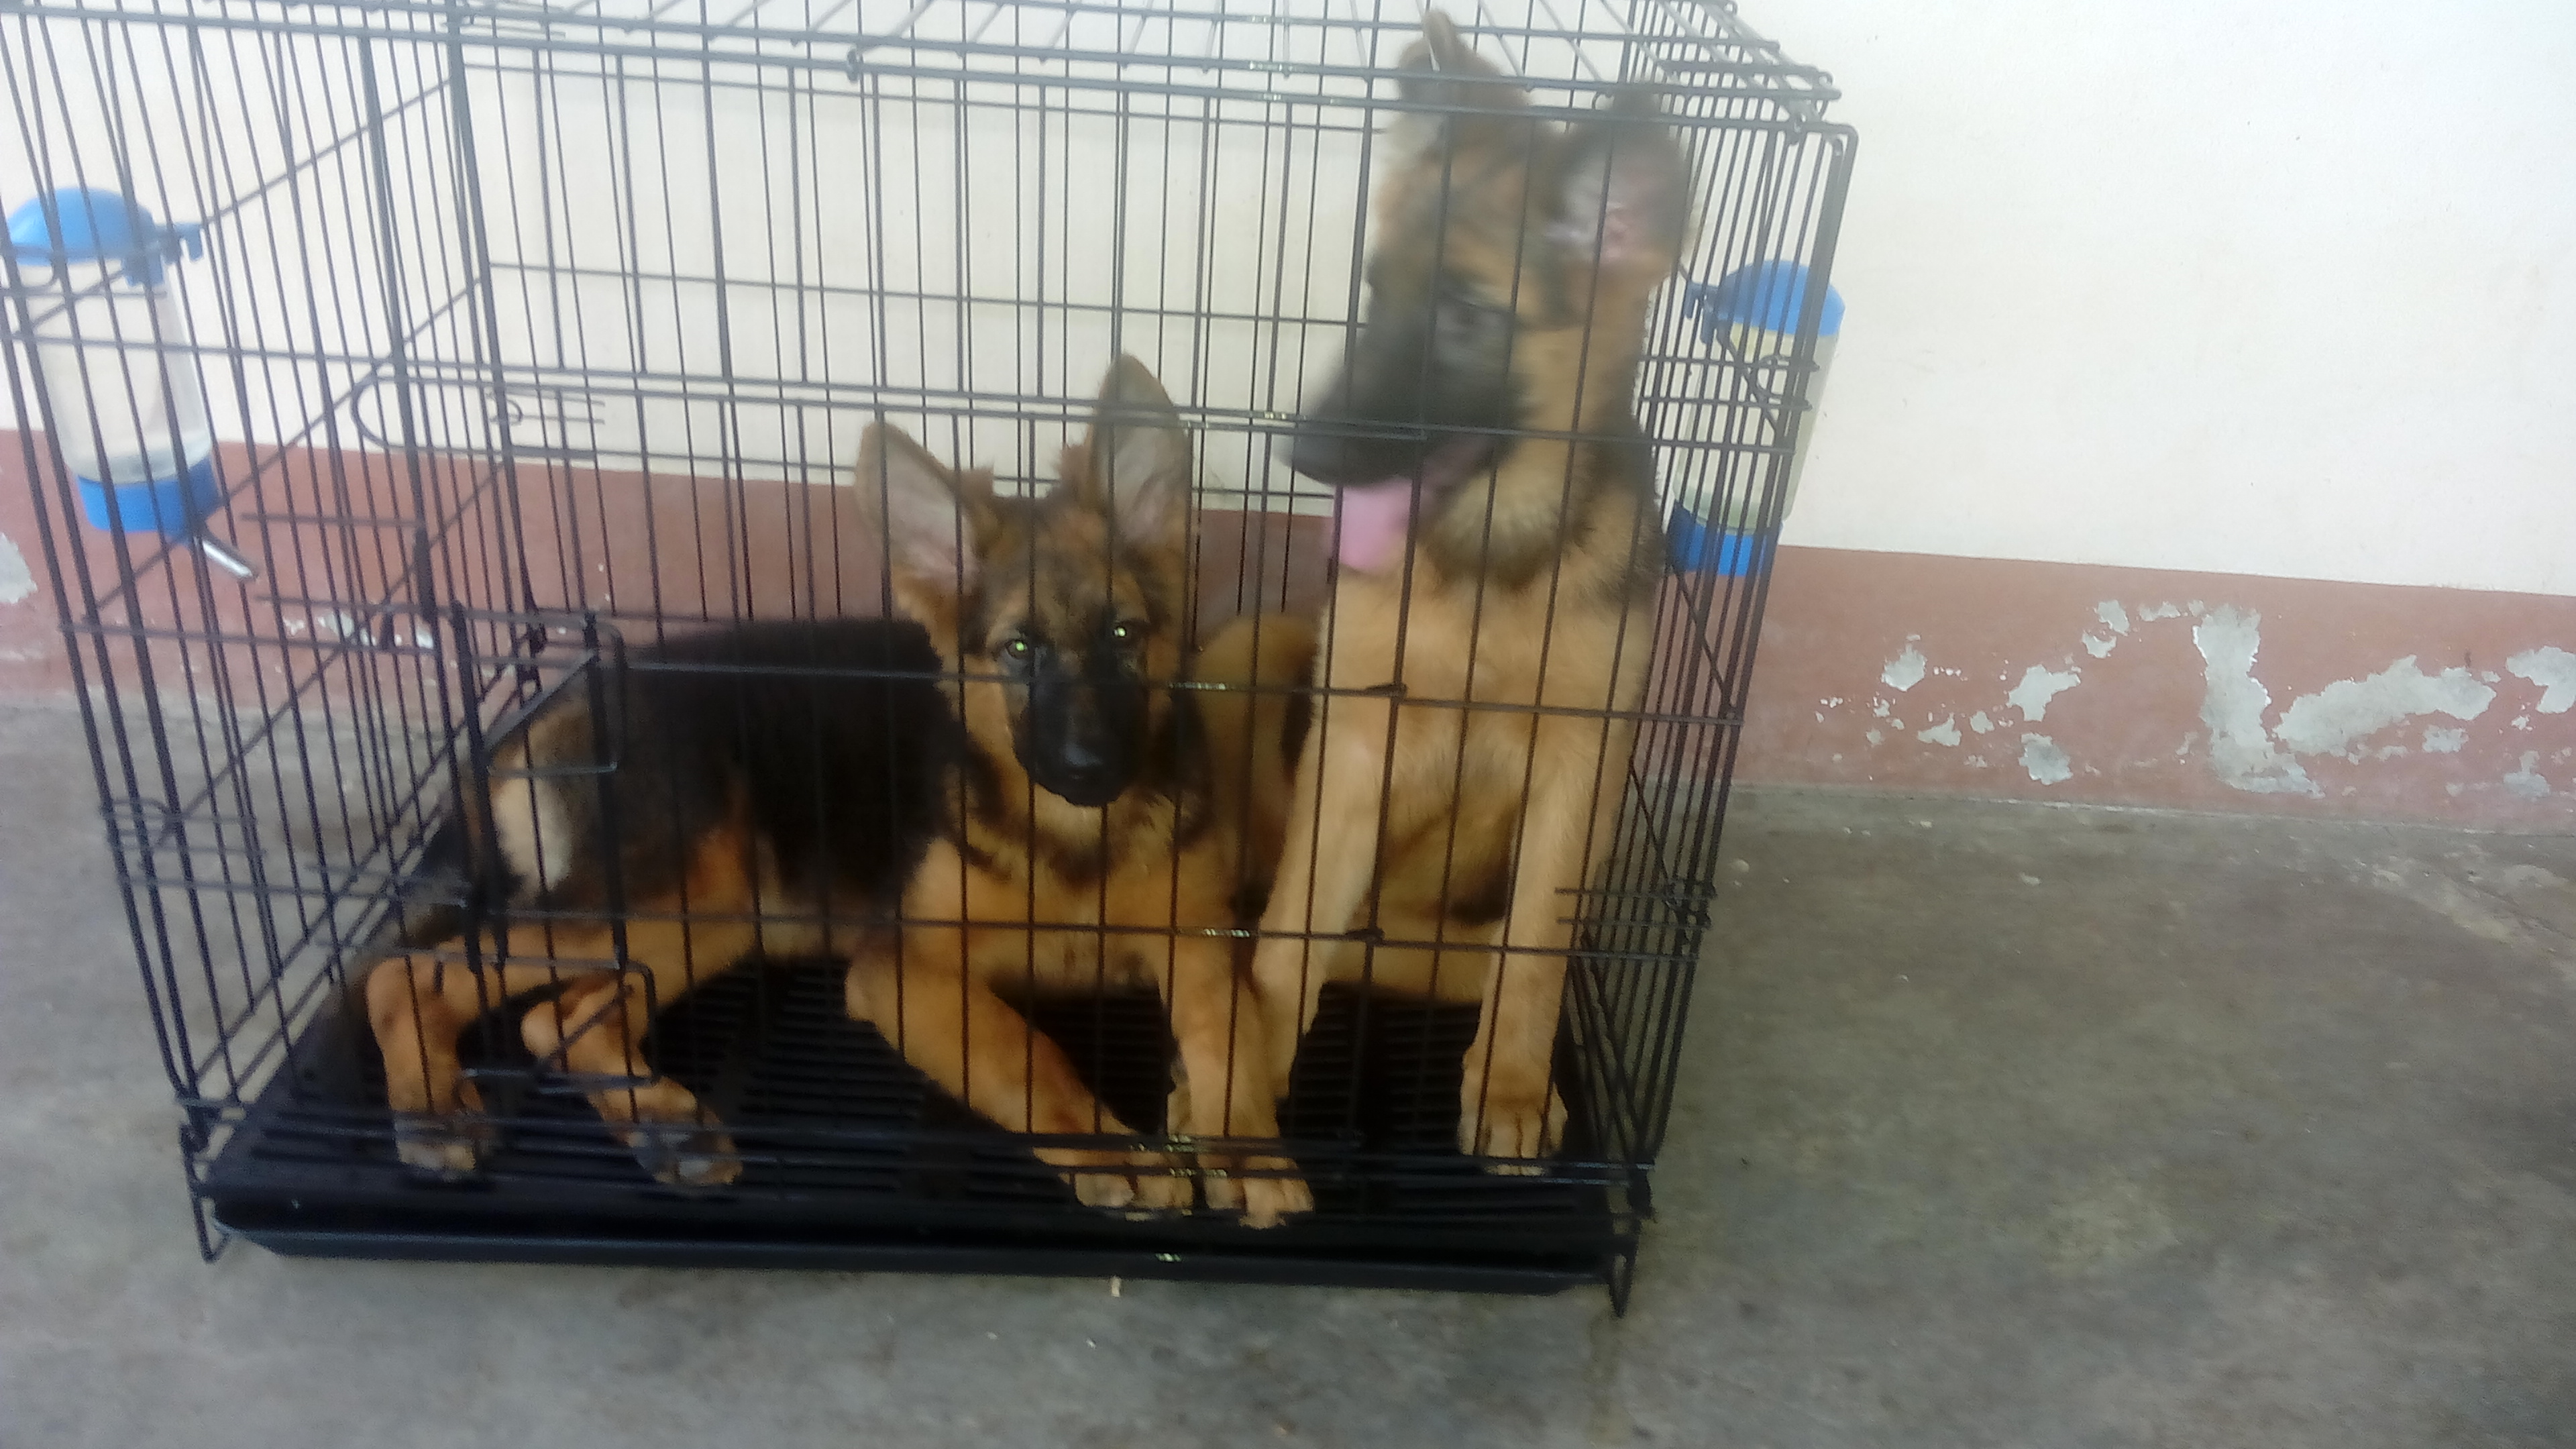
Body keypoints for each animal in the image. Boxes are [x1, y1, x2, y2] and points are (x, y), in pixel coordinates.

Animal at [363, 358, 1314, 1225]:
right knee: (409, 972)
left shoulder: (1200, 948)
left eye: (1124, 636)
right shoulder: (902, 970)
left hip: (717, 910)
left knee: (563, 1018)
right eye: (1018, 651)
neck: (1072, 841)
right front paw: (1111, 1149)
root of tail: (553, 701)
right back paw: (434, 1115)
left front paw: (1249, 1152)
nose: (1090, 769)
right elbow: (1021, 1049)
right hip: (674, 877)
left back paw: (668, 1129)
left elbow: (1231, 1044)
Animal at [1248, 11, 1692, 1173]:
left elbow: (1536, 946)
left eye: (1462, 316)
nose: (1299, 453)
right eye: (1374, 294)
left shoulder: (1580, 766)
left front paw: (1513, 1086)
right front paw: (1235, 1083)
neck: (1487, 556)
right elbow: (1287, 930)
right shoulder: (1355, 744)